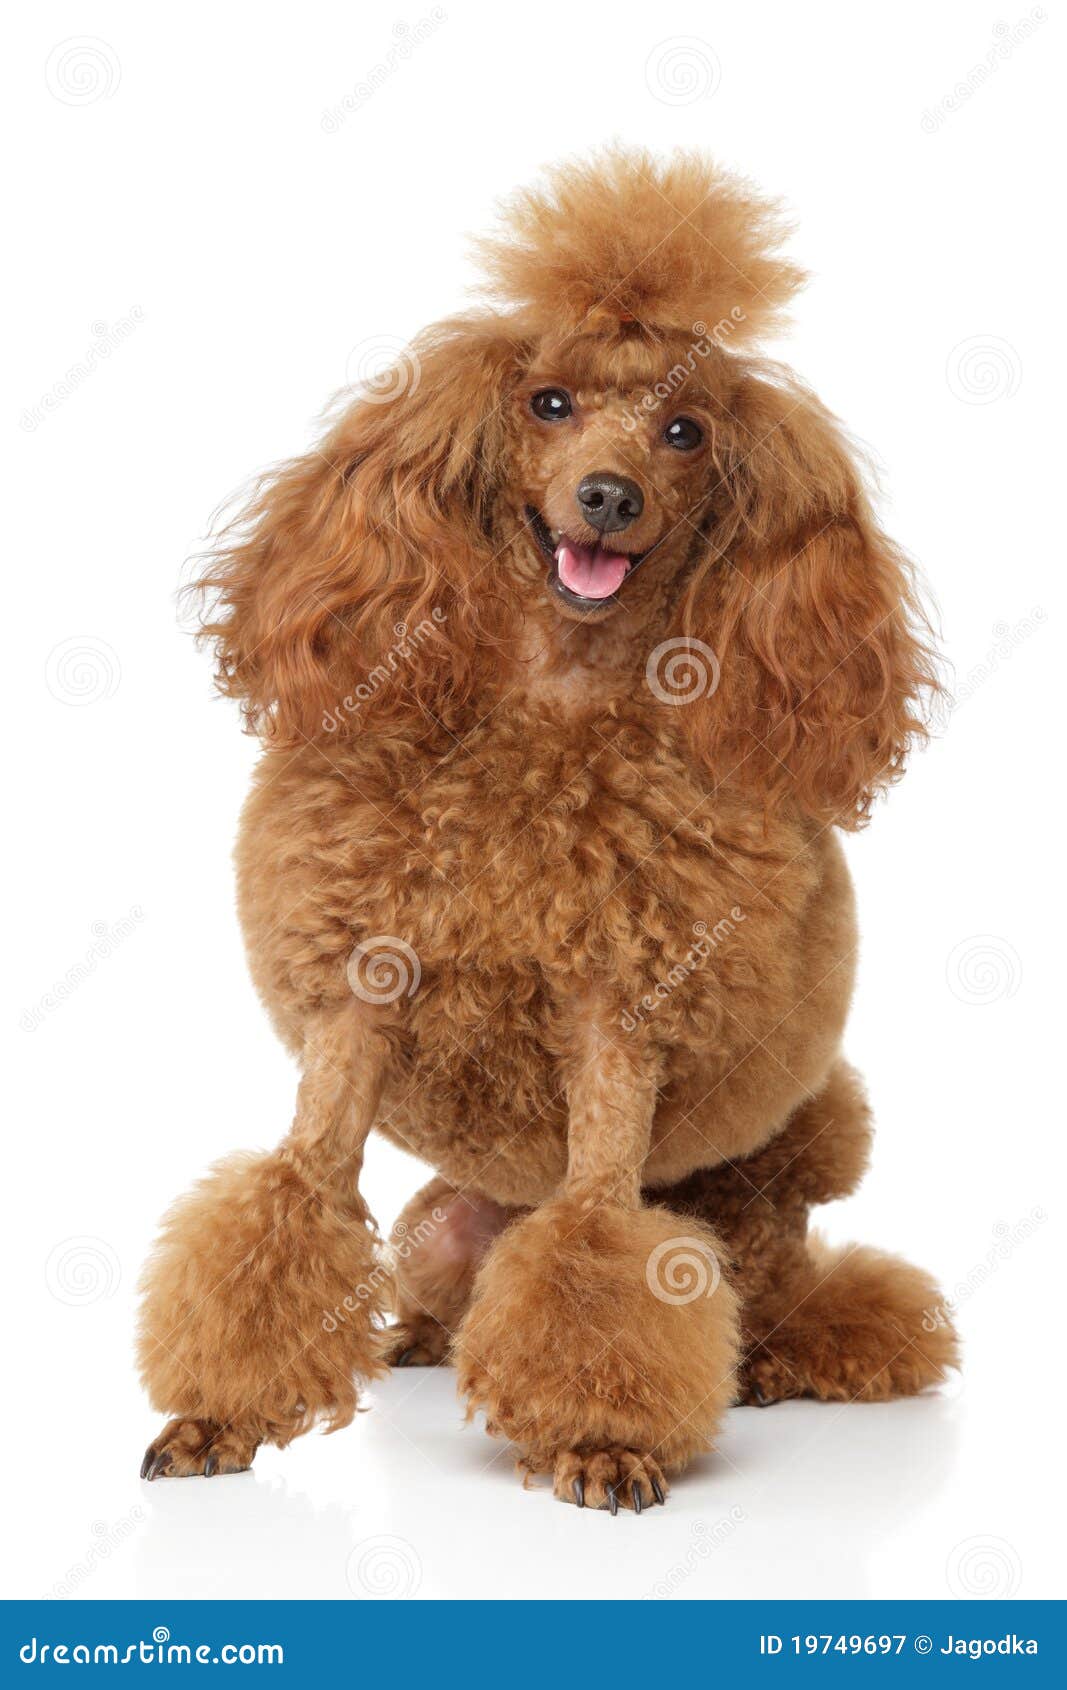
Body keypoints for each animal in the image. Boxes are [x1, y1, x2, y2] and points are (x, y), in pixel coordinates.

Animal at [138, 149, 959, 1509]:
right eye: (549, 403)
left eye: (684, 430)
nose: (607, 496)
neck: (548, 704)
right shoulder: (359, 1000)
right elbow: (295, 1191)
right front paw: (220, 1416)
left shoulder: (617, 1015)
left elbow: (595, 1234)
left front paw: (597, 1435)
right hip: (436, 1226)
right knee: (439, 1285)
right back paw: (414, 1340)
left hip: (770, 1194)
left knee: (770, 1296)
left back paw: (774, 1361)